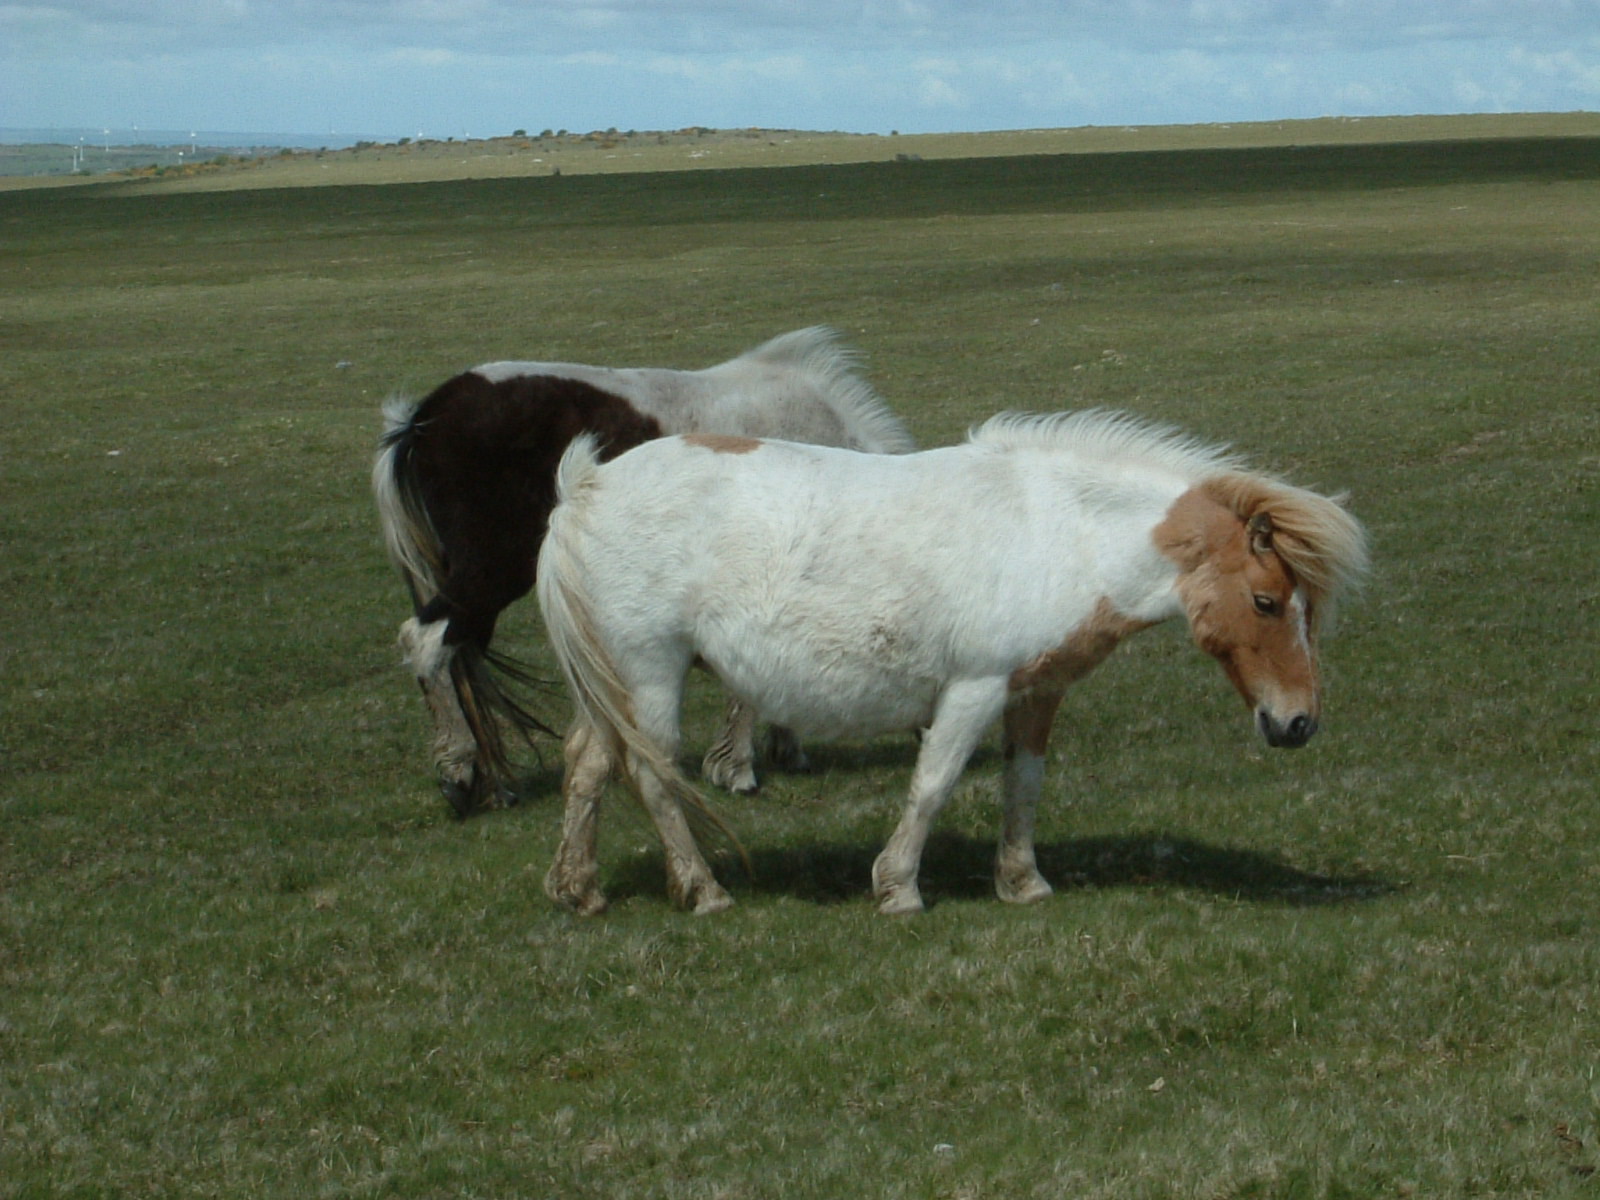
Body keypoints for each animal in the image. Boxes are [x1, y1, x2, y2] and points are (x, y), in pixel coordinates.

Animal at [372, 329, 915, 819]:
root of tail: (425, 419)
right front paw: (737, 768)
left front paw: (784, 747)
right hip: (493, 572)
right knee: (427, 642)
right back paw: (459, 774)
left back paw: (491, 784)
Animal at [534, 409, 1363, 915]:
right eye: (1266, 602)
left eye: (1305, 608)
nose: (1298, 723)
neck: (1059, 530)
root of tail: (585, 488)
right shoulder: (976, 687)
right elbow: (933, 784)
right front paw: (898, 887)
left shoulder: (1036, 693)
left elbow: (1022, 787)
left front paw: (1022, 881)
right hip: (650, 675)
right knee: (650, 775)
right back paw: (702, 889)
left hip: (611, 684)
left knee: (587, 767)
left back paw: (579, 889)